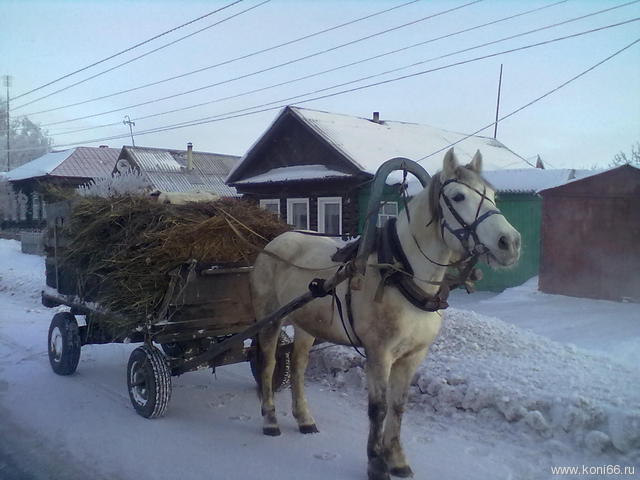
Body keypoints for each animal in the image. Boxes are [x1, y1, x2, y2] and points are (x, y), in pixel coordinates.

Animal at [250, 150, 520, 480]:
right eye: (458, 197)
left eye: (492, 195)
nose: (510, 242)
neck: (402, 274)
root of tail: (275, 242)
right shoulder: (379, 354)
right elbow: (377, 408)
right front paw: (376, 463)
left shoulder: (413, 355)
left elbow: (399, 406)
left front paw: (397, 459)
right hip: (270, 319)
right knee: (268, 365)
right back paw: (270, 420)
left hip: (306, 324)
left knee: (299, 366)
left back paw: (304, 418)